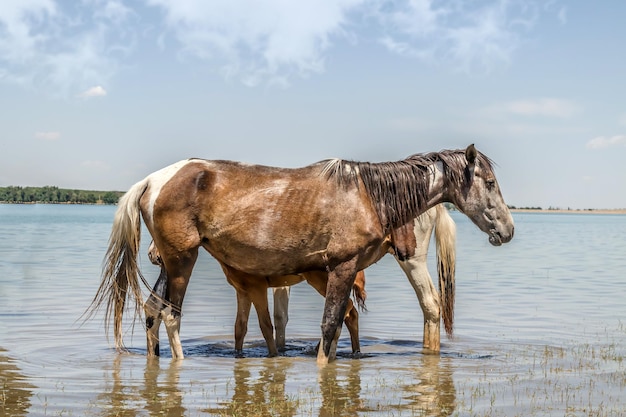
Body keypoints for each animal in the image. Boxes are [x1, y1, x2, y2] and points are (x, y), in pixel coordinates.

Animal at [145, 242, 366, 356]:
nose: (153, 255)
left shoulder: (257, 289)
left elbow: (266, 325)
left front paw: (273, 355)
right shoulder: (243, 292)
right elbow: (239, 328)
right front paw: (238, 355)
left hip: (322, 283)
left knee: (347, 311)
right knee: (350, 314)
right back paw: (352, 351)